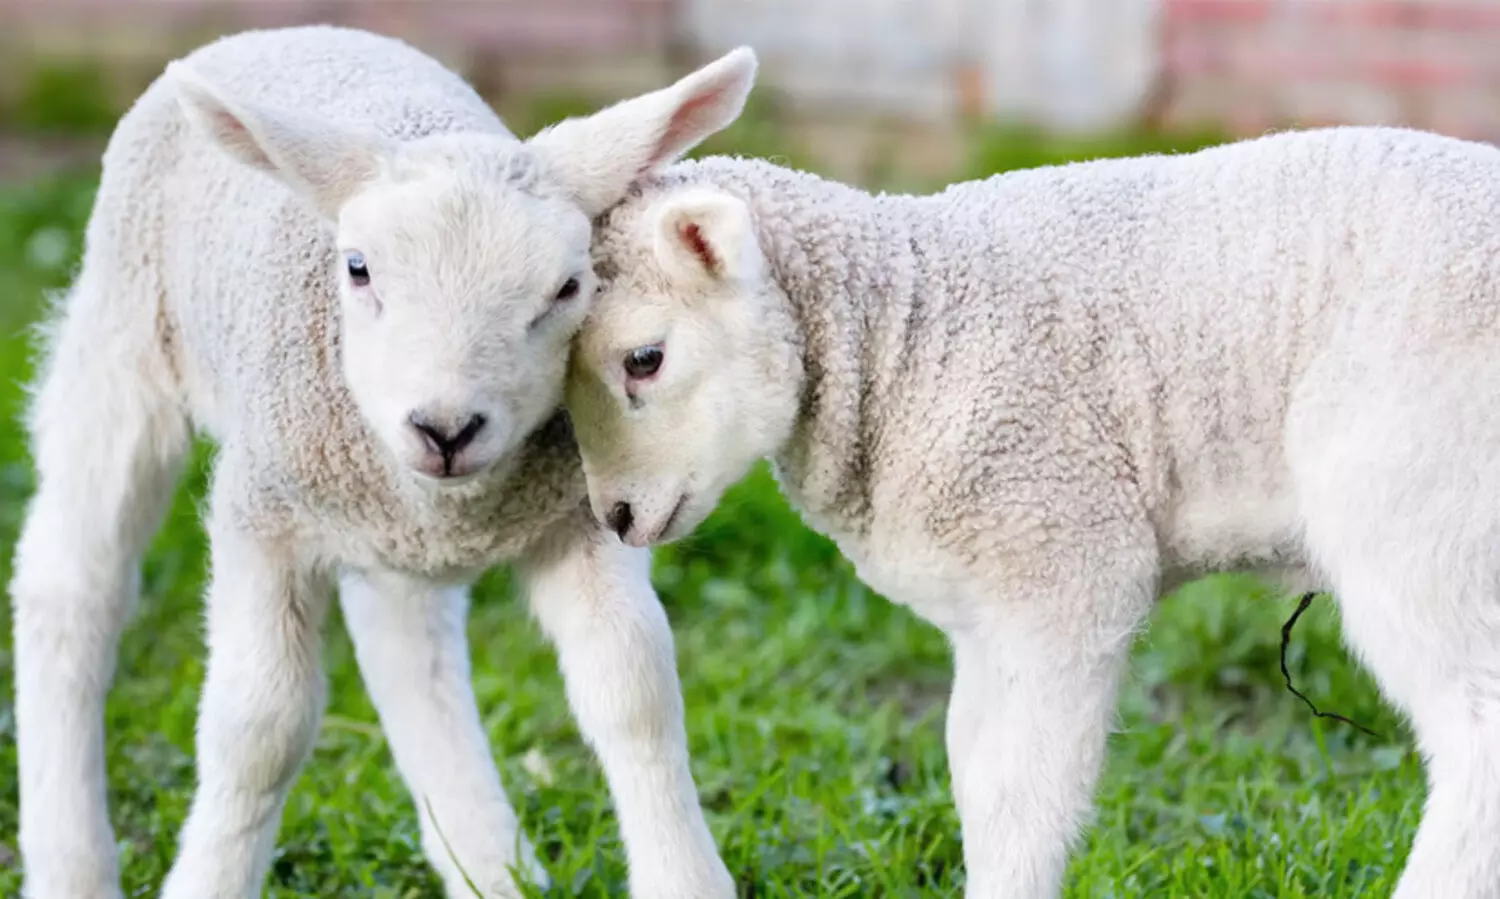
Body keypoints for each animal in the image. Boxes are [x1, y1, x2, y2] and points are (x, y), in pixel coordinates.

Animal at [8, 24, 758, 899]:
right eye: (358, 268)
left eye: (570, 288)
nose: (446, 427)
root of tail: (293, 31)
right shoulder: (262, 513)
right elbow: (258, 725)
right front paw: (211, 877)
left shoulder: (575, 515)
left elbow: (635, 687)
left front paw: (684, 876)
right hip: (123, 335)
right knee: (71, 585)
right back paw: (70, 862)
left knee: (406, 643)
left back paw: (487, 862)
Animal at [564, 125, 1500, 898]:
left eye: (644, 359)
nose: (617, 516)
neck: (901, 333)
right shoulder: (986, 610)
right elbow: (973, 776)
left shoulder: (1062, 560)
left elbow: (1023, 796)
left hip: (1416, 501)